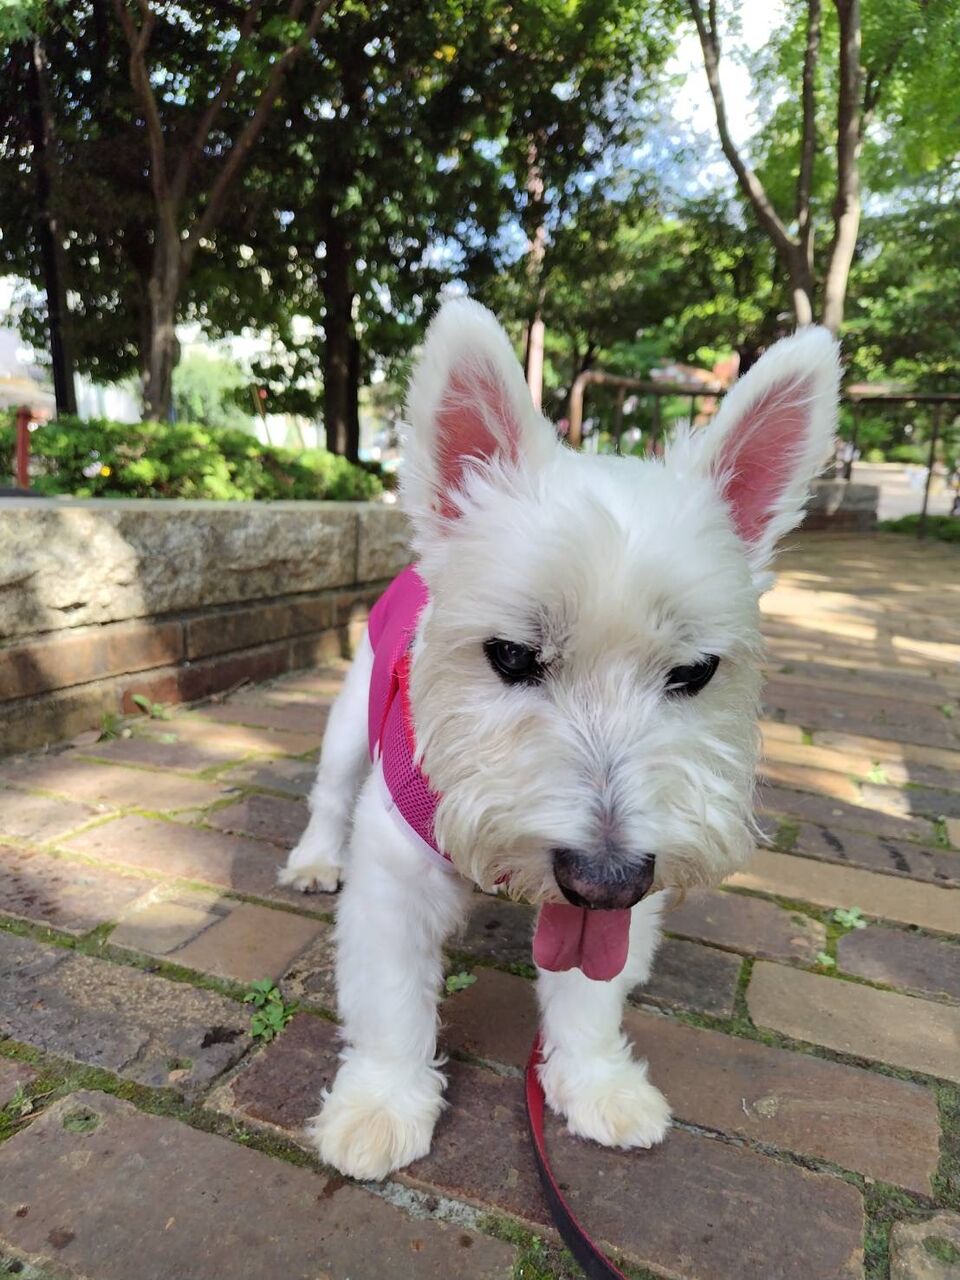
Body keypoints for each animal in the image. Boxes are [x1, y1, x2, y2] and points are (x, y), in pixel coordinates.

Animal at [280, 298, 839, 1181]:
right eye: (511, 655)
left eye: (695, 671)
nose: (604, 879)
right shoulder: (395, 875)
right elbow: (391, 1001)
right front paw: (380, 1105)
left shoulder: (630, 887)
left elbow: (589, 994)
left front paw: (597, 1083)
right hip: (348, 721)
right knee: (329, 794)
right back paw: (311, 860)